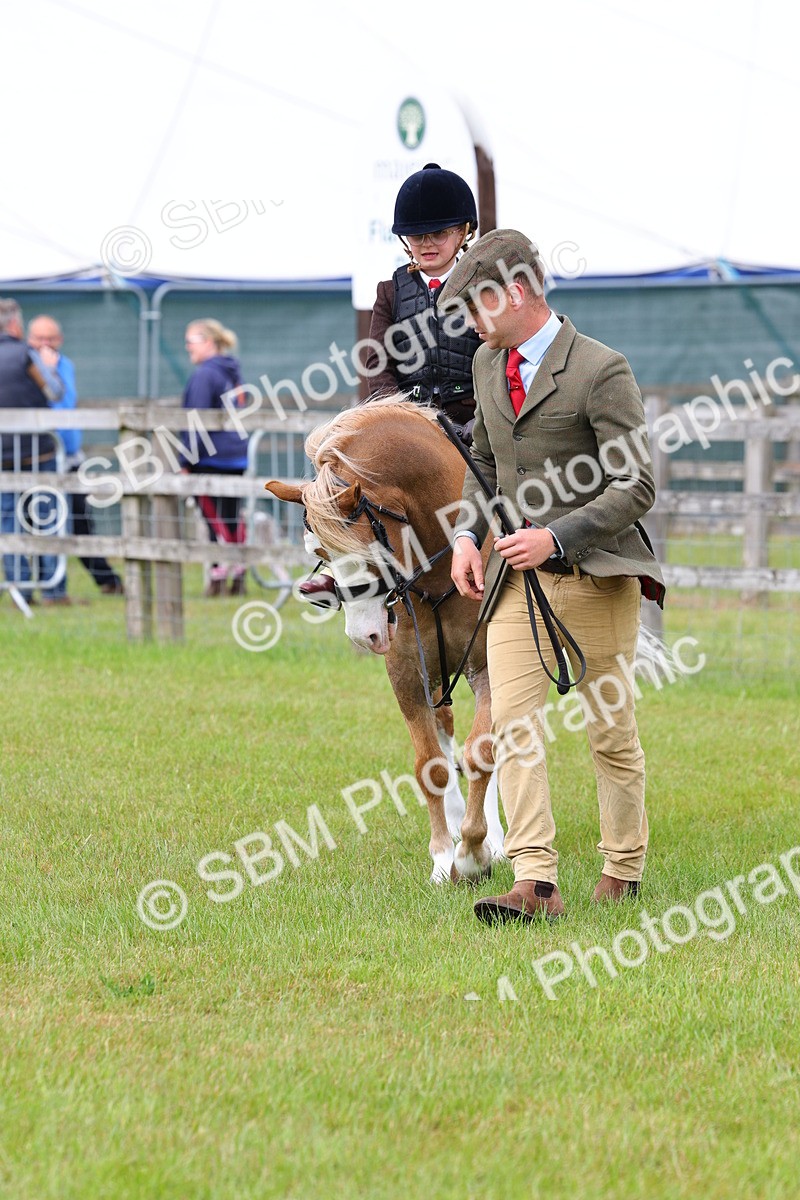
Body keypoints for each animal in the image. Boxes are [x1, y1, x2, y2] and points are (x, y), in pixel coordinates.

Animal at [266, 397, 506, 884]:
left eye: (369, 550)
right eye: (321, 553)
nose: (365, 635)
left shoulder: (487, 665)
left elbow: (481, 752)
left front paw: (476, 853)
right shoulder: (406, 671)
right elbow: (430, 765)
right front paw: (443, 858)